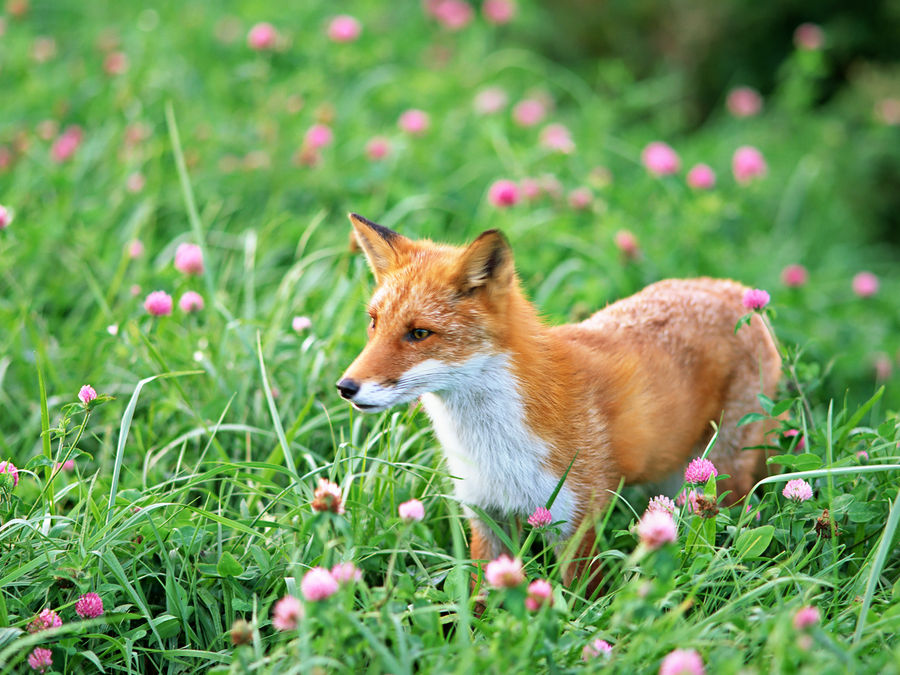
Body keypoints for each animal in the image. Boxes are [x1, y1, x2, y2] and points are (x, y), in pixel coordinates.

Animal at [338, 214, 780, 588]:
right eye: (374, 323)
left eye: (418, 334)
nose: (346, 386)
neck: (494, 447)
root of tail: (734, 289)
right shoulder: (486, 515)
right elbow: (479, 603)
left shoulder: (576, 519)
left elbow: (578, 603)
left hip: (719, 478)